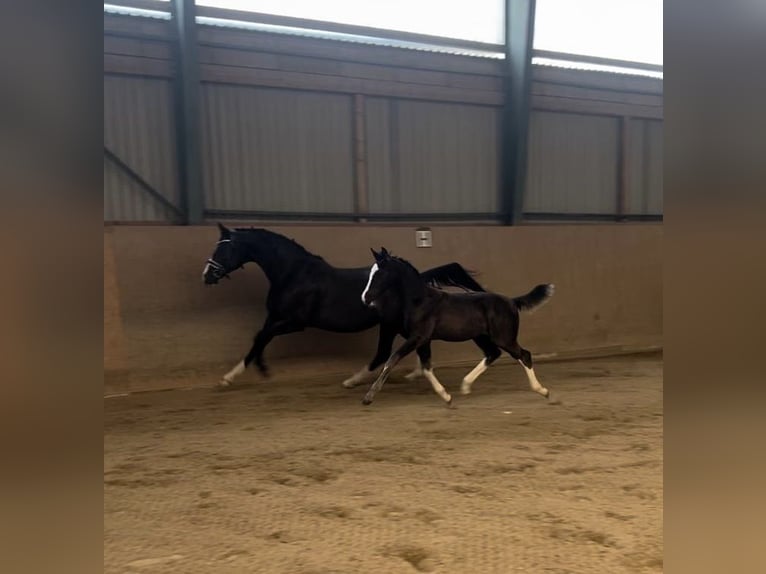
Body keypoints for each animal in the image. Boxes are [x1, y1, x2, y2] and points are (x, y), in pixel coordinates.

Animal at [202, 224, 485, 387]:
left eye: (224, 249)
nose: (207, 275)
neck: (294, 274)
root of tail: (417, 279)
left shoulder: (296, 322)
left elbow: (262, 336)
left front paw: (242, 374)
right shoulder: (275, 316)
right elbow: (259, 338)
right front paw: (251, 369)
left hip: (389, 324)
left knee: (387, 351)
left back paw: (354, 380)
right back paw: (414, 374)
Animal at [358, 247, 555, 406]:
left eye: (379, 274)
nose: (365, 298)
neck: (420, 301)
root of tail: (512, 302)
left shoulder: (417, 337)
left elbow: (392, 359)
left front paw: (368, 397)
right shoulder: (424, 341)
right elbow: (426, 367)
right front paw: (446, 397)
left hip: (504, 337)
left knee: (524, 355)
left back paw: (544, 391)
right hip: (481, 337)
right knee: (493, 354)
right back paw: (465, 385)